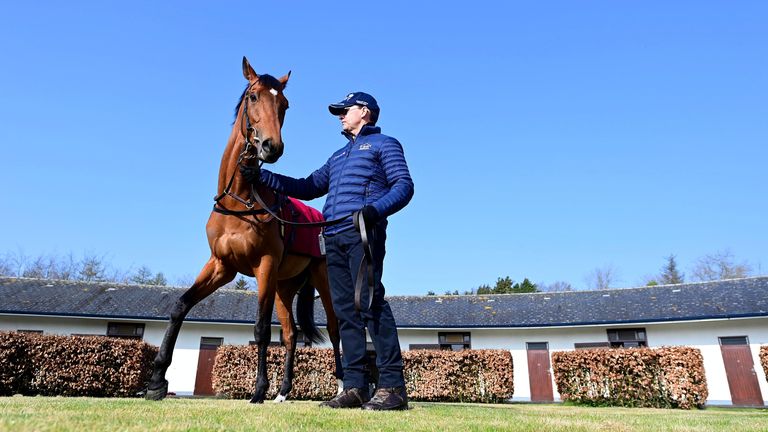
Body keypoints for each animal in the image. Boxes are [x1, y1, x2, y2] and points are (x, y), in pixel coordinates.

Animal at [146, 57, 342, 404]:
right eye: (253, 97)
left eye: (284, 104)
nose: (271, 146)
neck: (239, 201)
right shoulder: (221, 266)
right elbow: (180, 306)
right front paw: (156, 380)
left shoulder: (263, 264)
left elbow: (261, 328)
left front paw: (259, 390)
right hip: (283, 287)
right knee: (291, 334)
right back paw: (283, 392)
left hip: (322, 278)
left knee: (334, 329)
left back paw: (345, 387)